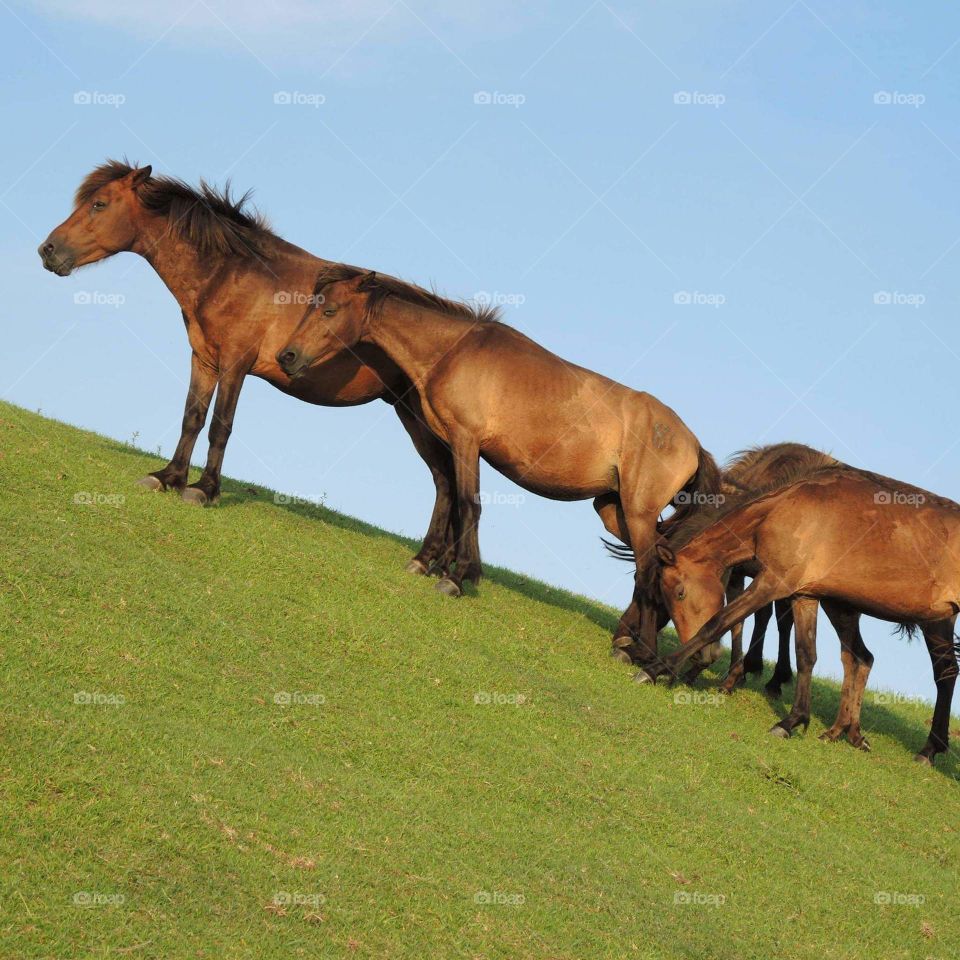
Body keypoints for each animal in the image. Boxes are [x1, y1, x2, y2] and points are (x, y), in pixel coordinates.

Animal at [37, 160, 457, 575]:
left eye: (100, 204)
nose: (48, 250)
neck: (232, 274)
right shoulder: (204, 359)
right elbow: (193, 417)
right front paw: (168, 477)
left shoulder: (235, 364)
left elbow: (220, 426)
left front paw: (203, 490)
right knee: (448, 482)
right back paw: (439, 563)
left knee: (448, 483)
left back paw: (434, 562)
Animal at [276, 265, 720, 618]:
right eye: (312, 305)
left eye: (330, 310)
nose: (287, 357)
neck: (454, 351)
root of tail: (692, 444)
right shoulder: (449, 444)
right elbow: (449, 498)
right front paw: (432, 563)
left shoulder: (466, 441)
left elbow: (468, 503)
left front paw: (458, 577)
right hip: (615, 511)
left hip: (639, 515)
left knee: (650, 571)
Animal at [637, 466, 960, 765]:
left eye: (679, 592)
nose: (703, 657)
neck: (784, 508)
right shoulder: (804, 596)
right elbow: (806, 655)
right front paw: (793, 720)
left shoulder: (770, 583)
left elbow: (717, 623)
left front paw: (656, 669)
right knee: (862, 659)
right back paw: (846, 732)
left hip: (935, 623)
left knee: (945, 673)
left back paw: (928, 750)